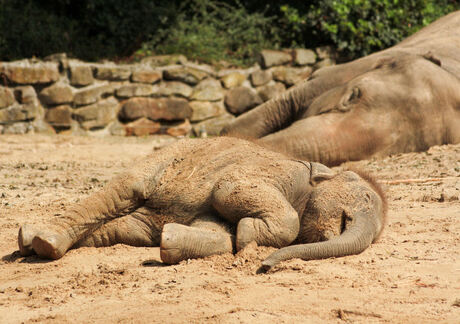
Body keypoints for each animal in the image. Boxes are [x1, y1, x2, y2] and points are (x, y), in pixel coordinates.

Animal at [17, 137, 384, 270]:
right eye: (361, 198)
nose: (265, 267)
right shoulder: (265, 173)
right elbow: (227, 189)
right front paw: (248, 238)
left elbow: (216, 228)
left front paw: (171, 242)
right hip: (161, 161)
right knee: (124, 190)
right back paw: (41, 242)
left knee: (126, 227)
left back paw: (33, 245)